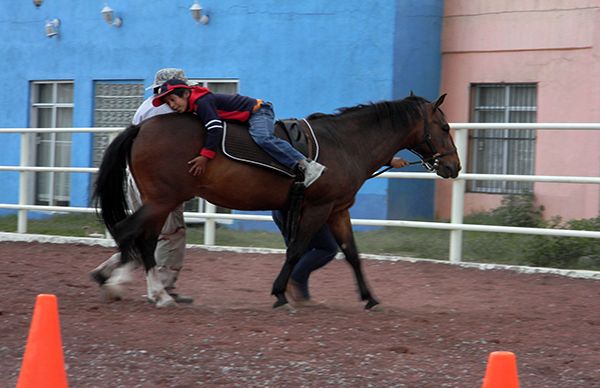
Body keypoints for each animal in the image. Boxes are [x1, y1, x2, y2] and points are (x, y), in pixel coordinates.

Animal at [92, 93, 460, 310]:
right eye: (443, 127)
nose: (454, 167)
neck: (344, 144)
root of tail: (140, 128)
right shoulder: (317, 208)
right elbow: (296, 250)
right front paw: (280, 293)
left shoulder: (338, 210)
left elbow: (352, 255)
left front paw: (370, 297)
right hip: (163, 199)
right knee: (132, 234)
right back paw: (144, 290)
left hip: (160, 201)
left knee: (142, 239)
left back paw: (137, 285)